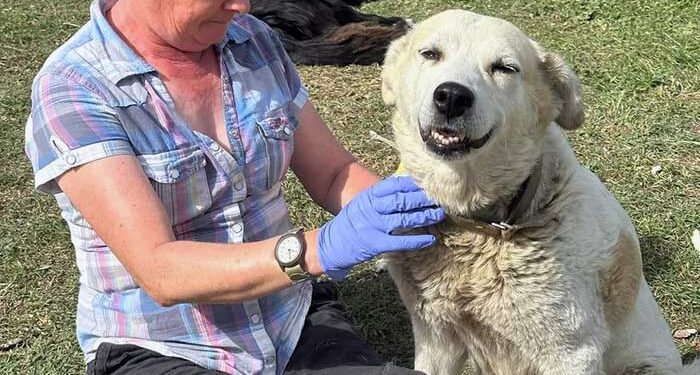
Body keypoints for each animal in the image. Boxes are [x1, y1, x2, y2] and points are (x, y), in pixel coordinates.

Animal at [382, 8, 700, 375]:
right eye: (430, 53)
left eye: (504, 68)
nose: (451, 96)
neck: (480, 227)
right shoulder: (436, 335)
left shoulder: (572, 353)